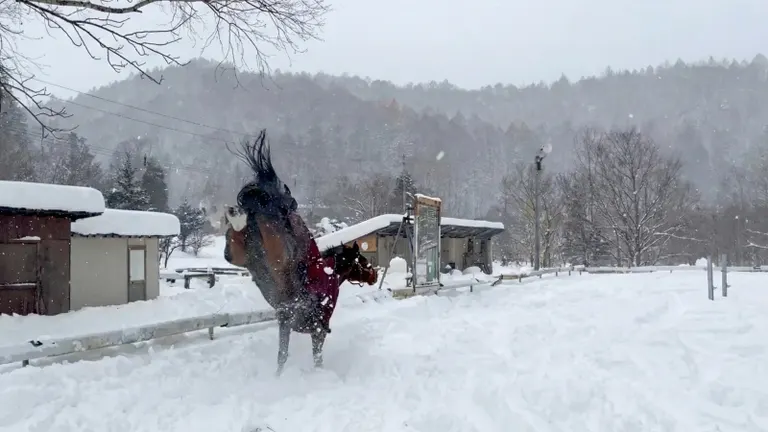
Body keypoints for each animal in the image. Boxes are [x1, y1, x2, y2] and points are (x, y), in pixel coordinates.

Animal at [223, 130, 378, 375]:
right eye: (362, 260)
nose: (374, 274)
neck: (331, 274)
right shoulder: (318, 329)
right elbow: (316, 357)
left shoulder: (285, 322)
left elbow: (282, 356)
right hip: (278, 250)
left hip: (241, 255)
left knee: (235, 237)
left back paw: (233, 212)